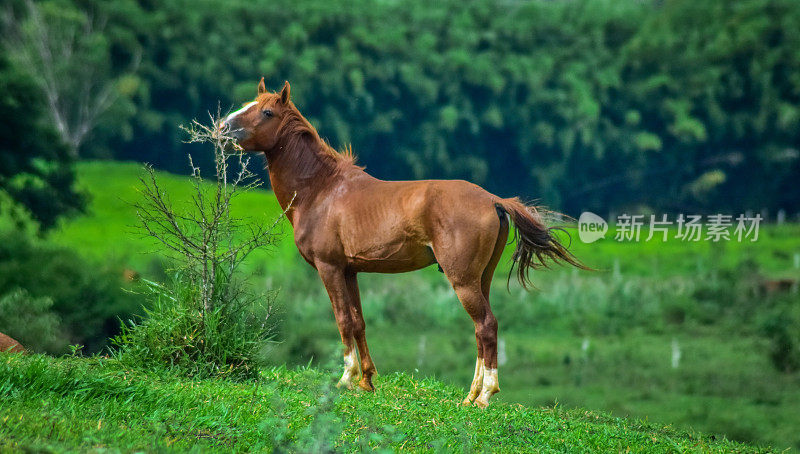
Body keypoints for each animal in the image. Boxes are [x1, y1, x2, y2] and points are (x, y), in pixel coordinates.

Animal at [222, 79, 584, 408]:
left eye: (267, 112)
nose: (223, 129)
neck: (323, 189)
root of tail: (494, 200)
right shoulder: (350, 271)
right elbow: (358, 321)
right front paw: (366, 380)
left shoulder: (330, 268)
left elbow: (343, 320)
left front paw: (346, 379)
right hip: (482, 279)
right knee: (482, 331)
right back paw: (470, 395)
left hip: (463, 281)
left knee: (486, 326)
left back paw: (484, 395)